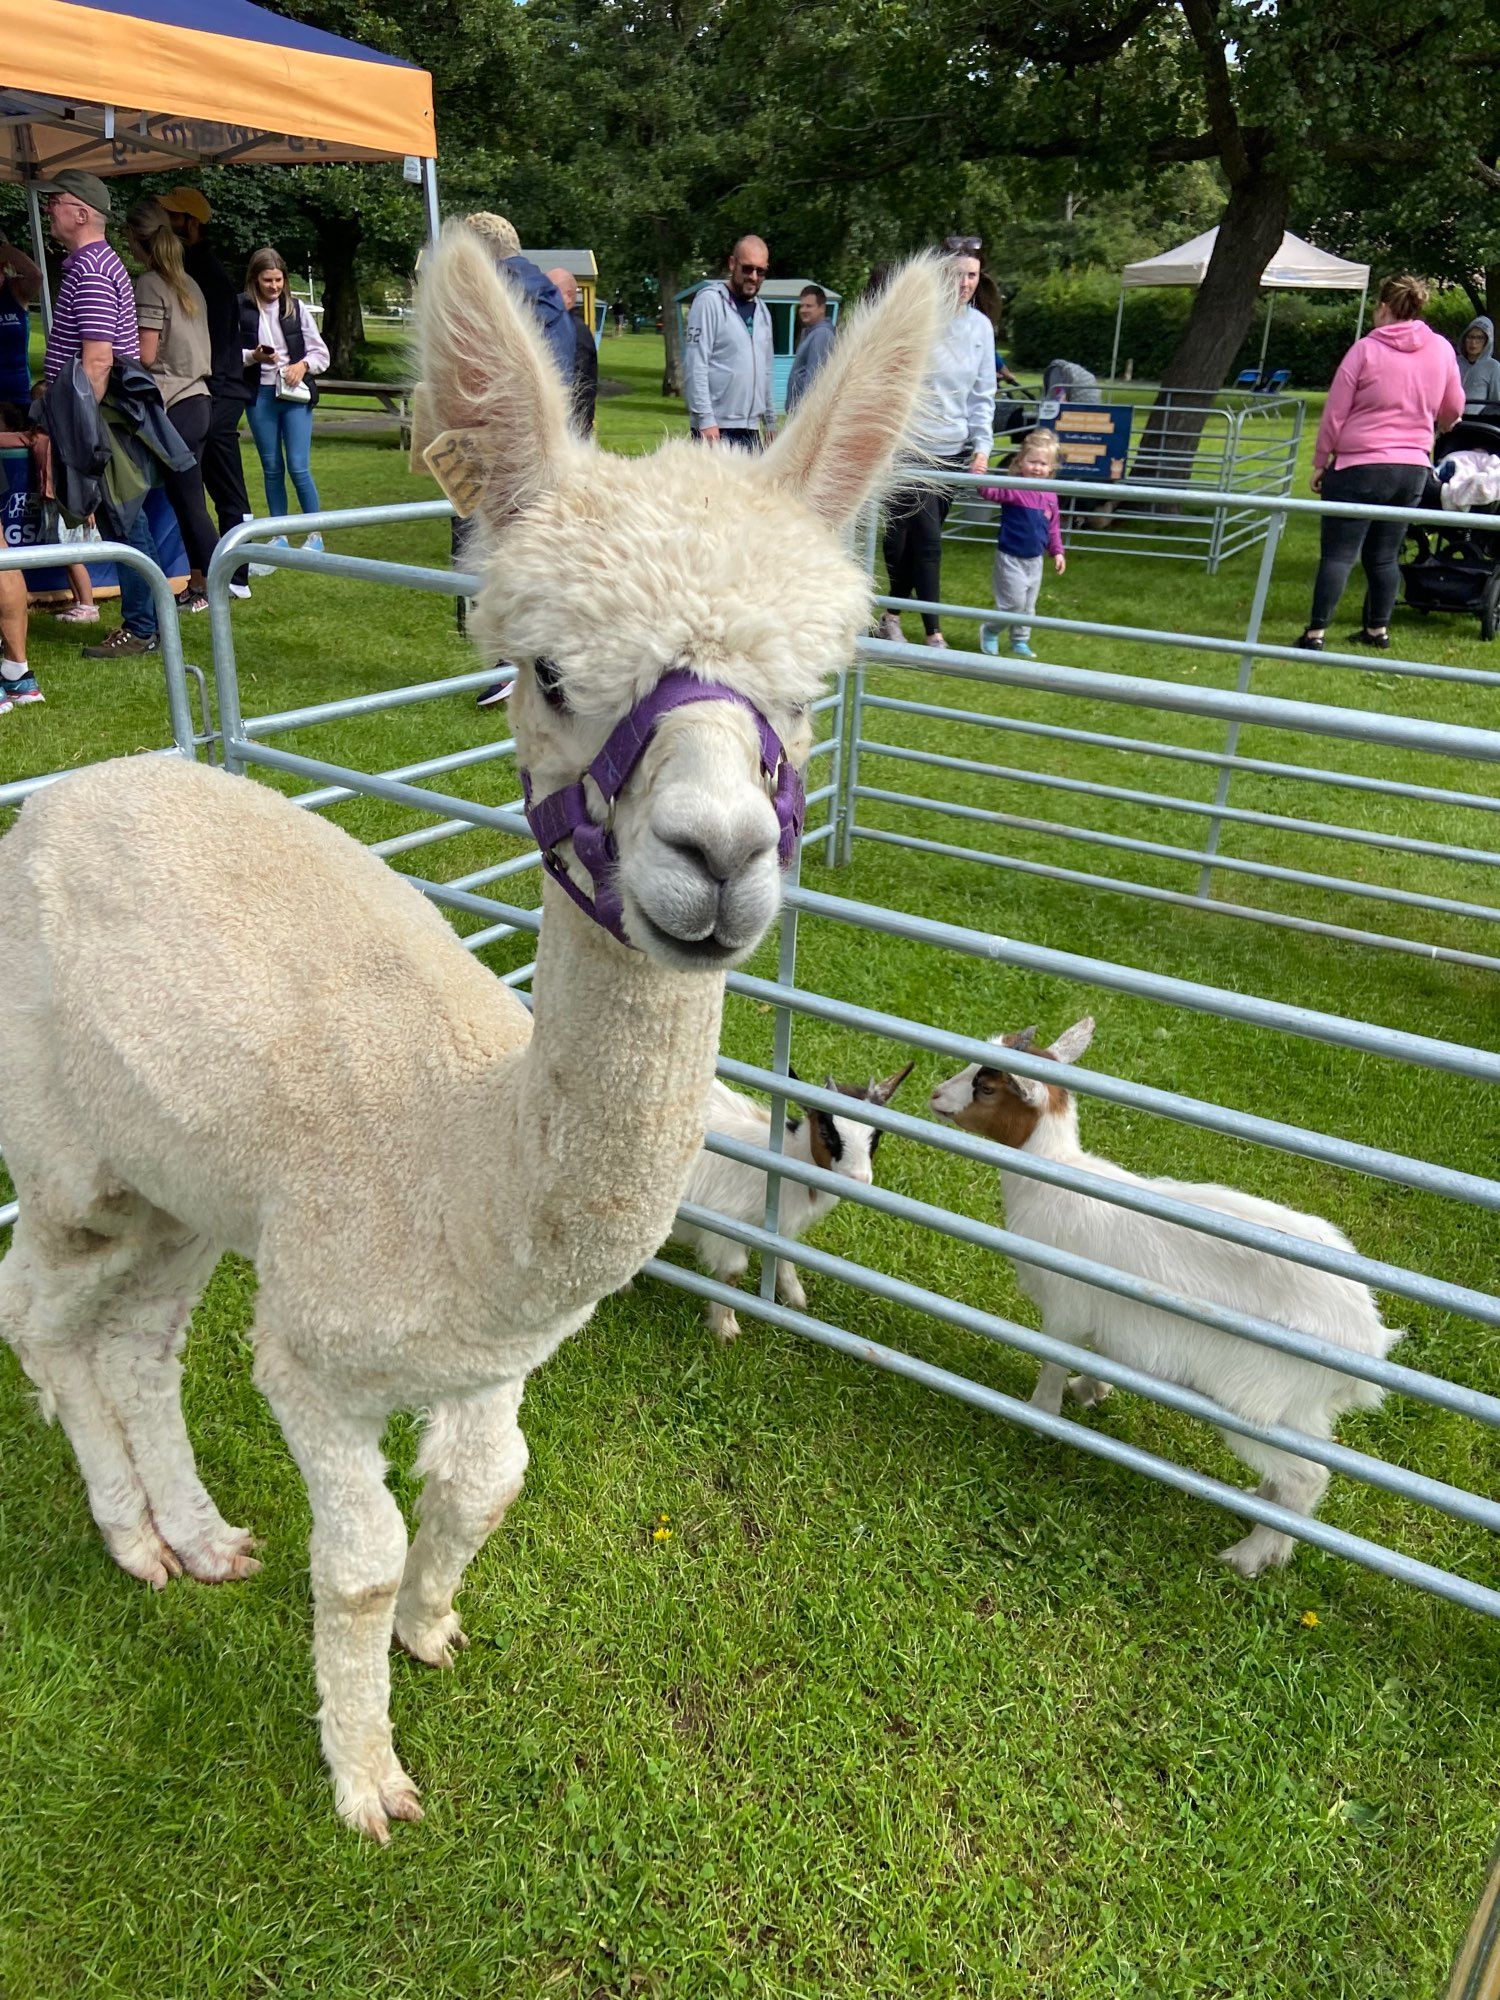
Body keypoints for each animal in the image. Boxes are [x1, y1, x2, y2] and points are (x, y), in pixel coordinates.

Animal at [936, 1024, 1408, 1568]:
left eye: (987, 1087)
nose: (935, 1095)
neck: (1057, 1177)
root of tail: (1369, 1337)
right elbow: (1100, 1356)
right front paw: (1089, 1391)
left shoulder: (1066, 1308)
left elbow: (1053, 1360)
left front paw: (1041, 1414)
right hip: (1299, 1408)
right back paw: (1267, 1526)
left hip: (1255, 1398)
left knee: (1306, 1476)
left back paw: (1249, 1556)